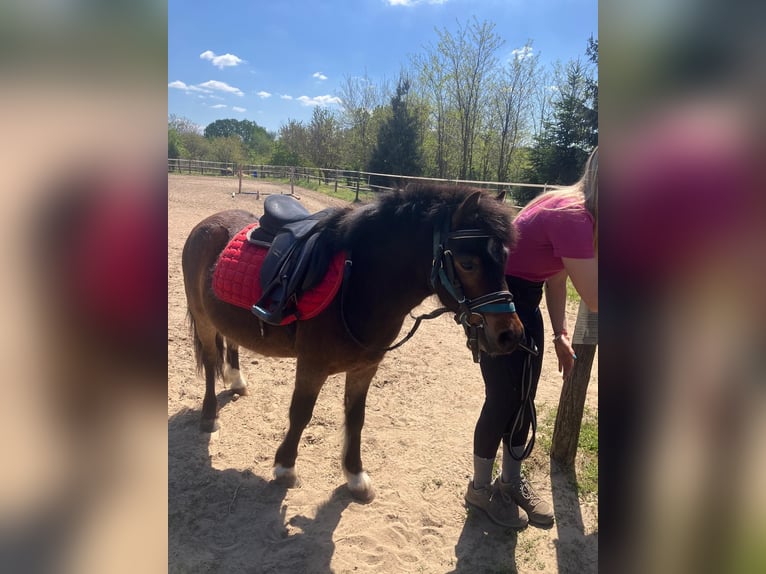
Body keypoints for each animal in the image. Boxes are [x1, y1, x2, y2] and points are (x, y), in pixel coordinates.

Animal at [182, 183, 525, 502]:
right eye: (468, 264)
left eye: (506, 259)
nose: (510, 335)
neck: (359, 282)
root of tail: (208, 223)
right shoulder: (312, 366)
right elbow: (301, 413)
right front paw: (285, 468)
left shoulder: (365, 368)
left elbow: (356, 418)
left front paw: (355, 476)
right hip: (203, 319)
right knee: (210, 362)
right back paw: (209, 415)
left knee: (232, 343)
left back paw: (237, 382)